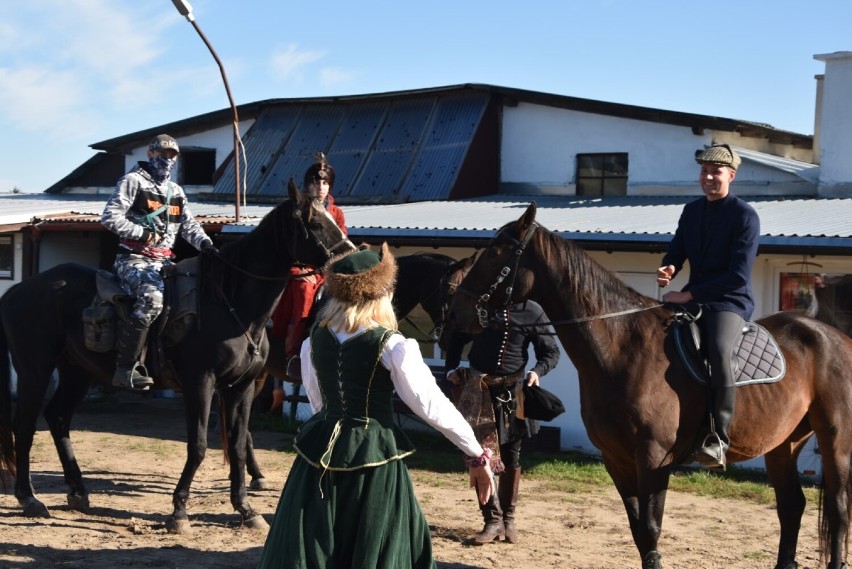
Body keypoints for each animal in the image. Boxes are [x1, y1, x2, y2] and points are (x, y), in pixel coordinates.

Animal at [0, 183, 354, 532]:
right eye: (315, 223)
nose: (349, 261)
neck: (229, 301)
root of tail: (18, 290)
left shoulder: (240, 387)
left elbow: (238, 446)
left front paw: (246, 509)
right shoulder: (200, 384)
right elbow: (198, 446)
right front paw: (179, 511)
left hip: (77, 372)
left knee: (58, 418)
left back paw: (77, 492)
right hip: (35, 369)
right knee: (24, 425)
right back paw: (29, 498)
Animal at [446, 203, 852, 568]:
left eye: (496, 252)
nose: (458, 314)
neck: (621, 347)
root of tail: (837, 337)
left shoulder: (653, 459)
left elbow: (652, 529)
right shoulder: (617, 459)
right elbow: (638, 530)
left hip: (835, 440)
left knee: (839, 510)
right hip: (784, 443)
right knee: (792, 506)